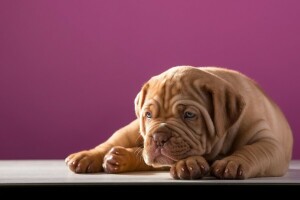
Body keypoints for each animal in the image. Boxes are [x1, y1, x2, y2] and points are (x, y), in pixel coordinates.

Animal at [65, 65, 292, 180]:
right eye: (148, 115)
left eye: (189, 115)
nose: (158, 137)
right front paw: (191, 164)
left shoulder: (269, 143)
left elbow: (252, 150)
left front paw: (232, 162)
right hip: (131, 130)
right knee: (113, 144)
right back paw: (89, 157)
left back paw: (119, 159)